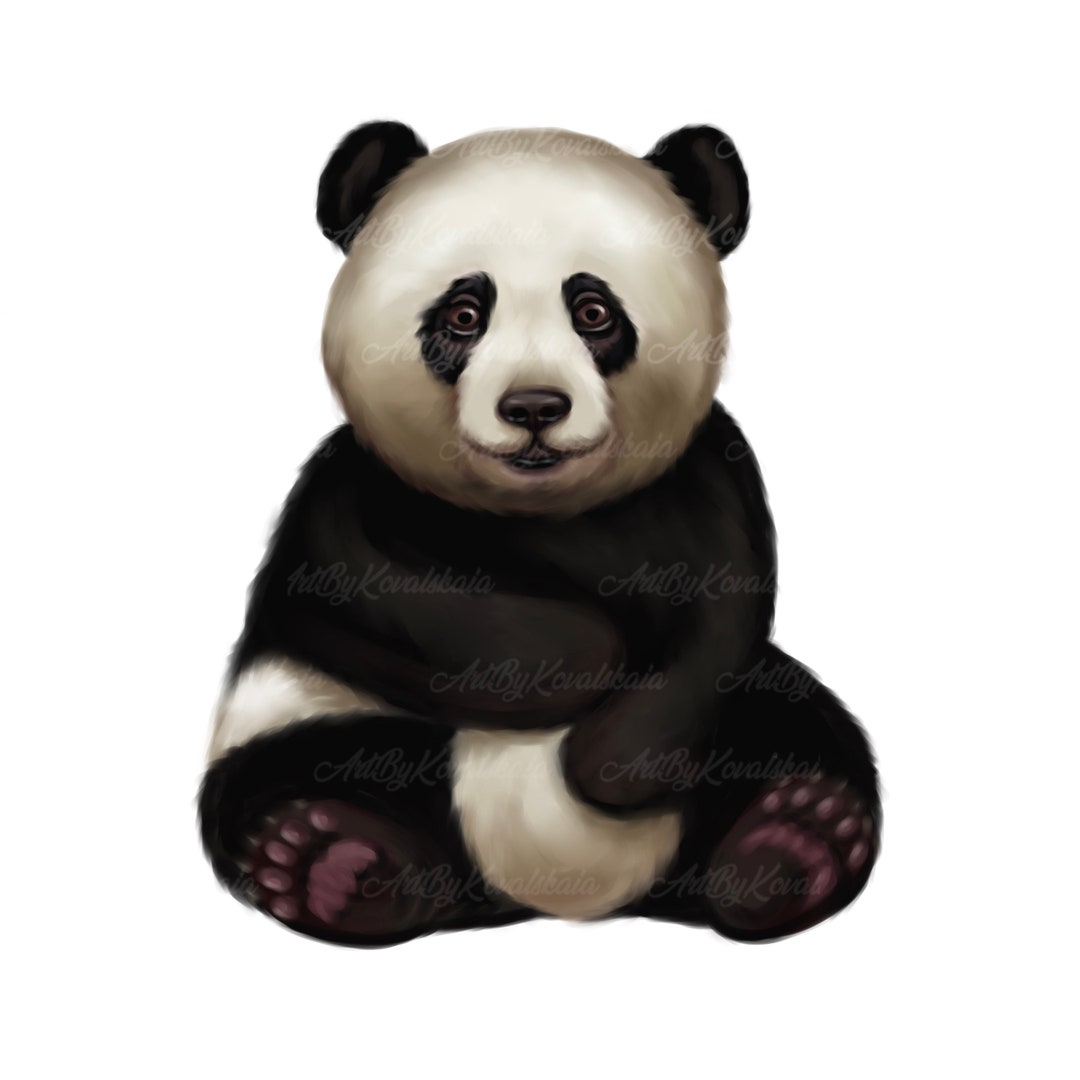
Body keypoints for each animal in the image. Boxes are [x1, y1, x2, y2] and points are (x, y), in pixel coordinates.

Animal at [199, 121, 881, 946]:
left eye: (592, 312)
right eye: (464, 315)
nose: (533, 407)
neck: (545, 517)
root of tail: (554, 897)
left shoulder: (706, 479)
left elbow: (720, 625)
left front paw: (613, 762)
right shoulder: (351, 492)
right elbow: (364, 591)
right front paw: (573, 667)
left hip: (771, 712)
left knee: (802, 738)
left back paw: (794, 845)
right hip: (303, 717)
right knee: (291, 778)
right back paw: (331, 862)